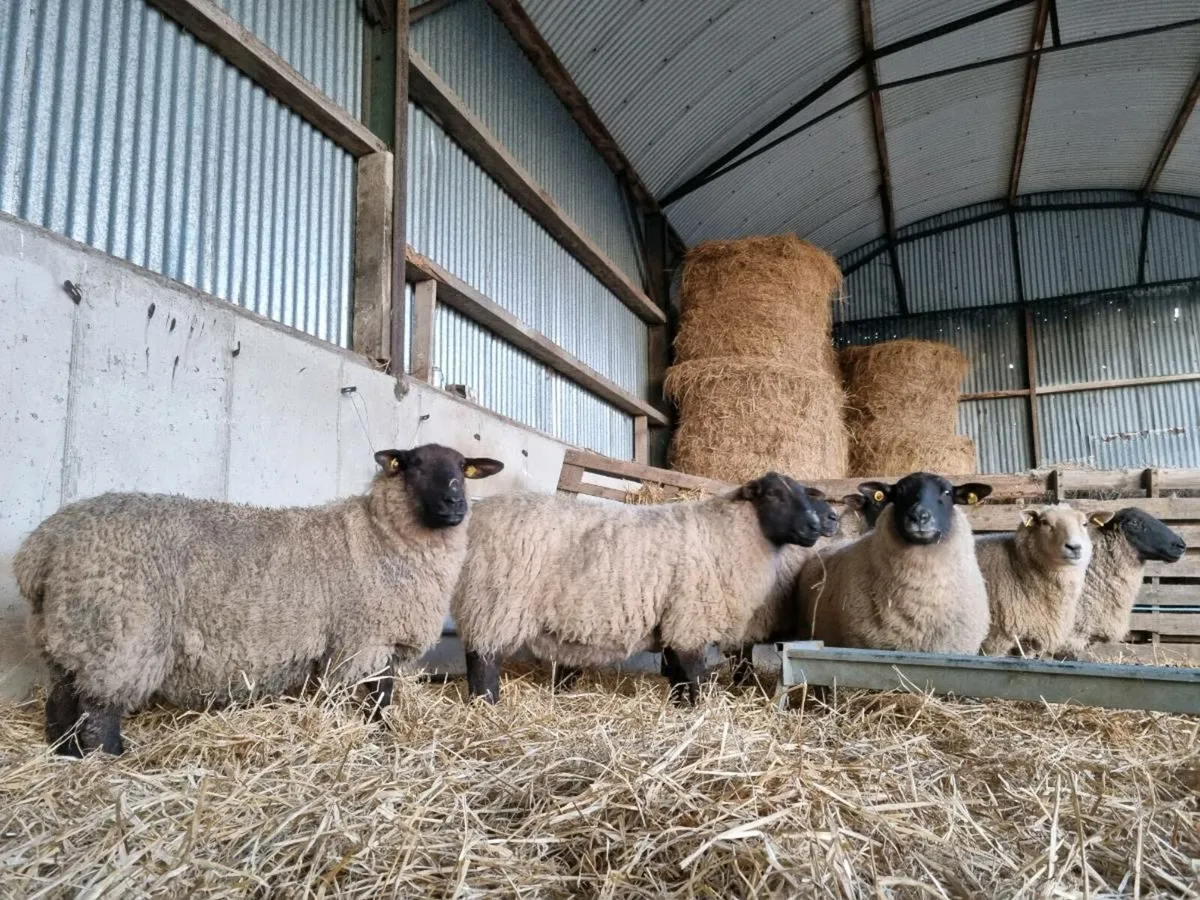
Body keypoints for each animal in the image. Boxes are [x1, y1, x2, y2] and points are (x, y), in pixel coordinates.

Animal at [13, 443, 504, 755]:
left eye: (462, 467)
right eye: (414, 465)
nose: (455, 505)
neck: (380, 535)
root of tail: (40, 550)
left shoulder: (379, 642)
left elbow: (381, 694)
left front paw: (384, 733)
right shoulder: (363, 639)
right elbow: (373, 696)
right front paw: (376, 735)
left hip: (68, 635)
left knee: (61, 701)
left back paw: (66, 756)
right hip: (117, 635)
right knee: (99, 711)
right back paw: (110, 757)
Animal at [452, 472, 826, 705]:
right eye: (775, 494)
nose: (816, 526)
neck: (723, 533)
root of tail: (477, 515)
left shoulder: (674, 621)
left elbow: (679, 676)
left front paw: (679, 708)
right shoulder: (690, 618)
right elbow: (696, 676)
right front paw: (700, 709)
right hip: (493, 602)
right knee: (482, 660)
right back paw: (486, 704)